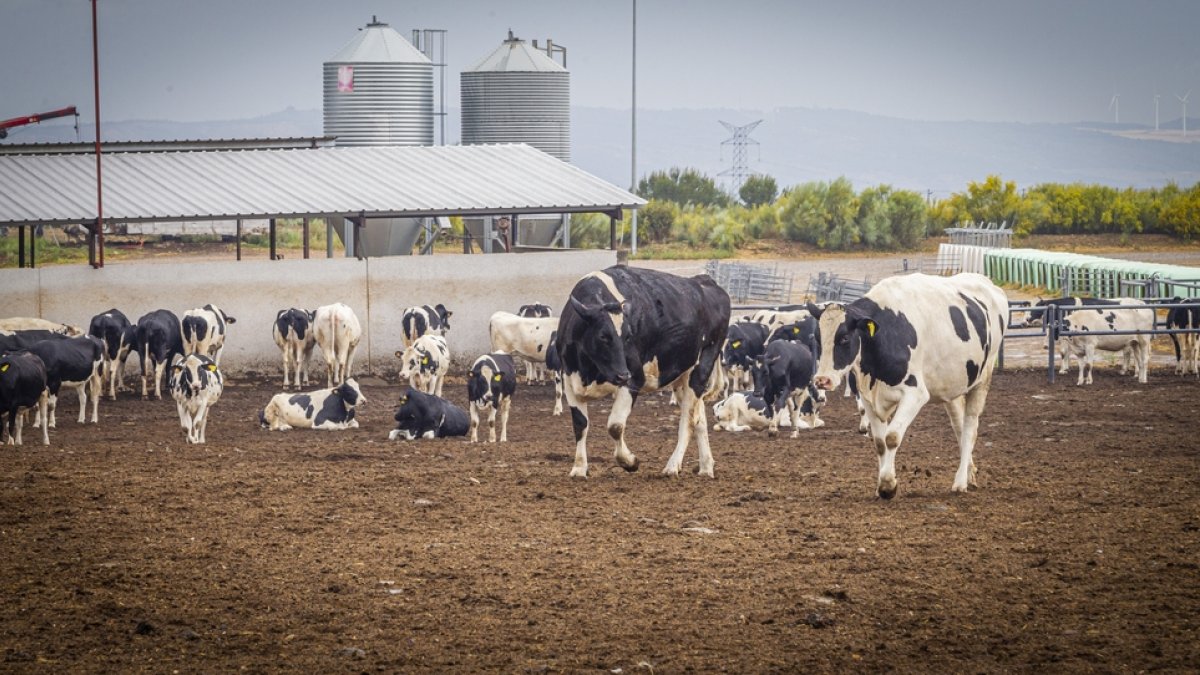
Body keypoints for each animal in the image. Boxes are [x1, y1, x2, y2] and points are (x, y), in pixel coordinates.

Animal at [555, 266, 730, 478]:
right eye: (603, 336)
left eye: (628, 336)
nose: (623, 374)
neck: (588, 370)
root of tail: (704, 280)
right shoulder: (569, 380)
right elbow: (580, 425)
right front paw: (579, 468)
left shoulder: (635, 379)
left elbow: (615, 426)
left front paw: (629, 461)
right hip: (683, 375)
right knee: (699, 419)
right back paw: (705, 467)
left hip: (701, 367)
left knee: (687, 422)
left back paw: (672, 466)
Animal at [811, 272, 1008, 499]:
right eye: (818, 338)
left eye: (844, 338)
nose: (821, 380)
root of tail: (989, 284)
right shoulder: (869, 398)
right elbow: (880, 443)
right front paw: (881, 484)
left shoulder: (915, 394)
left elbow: (892, 437)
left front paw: (888, 485)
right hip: (952, 386)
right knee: (959, 427)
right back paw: (969, 474)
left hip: (982, 380)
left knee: (969, 429)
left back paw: (960, 482)